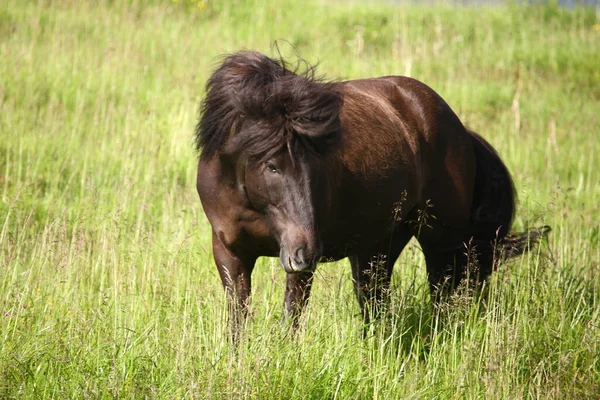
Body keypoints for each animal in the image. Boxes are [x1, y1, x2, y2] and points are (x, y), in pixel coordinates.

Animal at [195, 50, 548, 338]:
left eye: (316, 164)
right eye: (271, 166)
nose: (307, 253)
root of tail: (458, 127)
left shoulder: (297, 268)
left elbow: (290, 319)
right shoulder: (230, 254)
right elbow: (238, 321)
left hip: (438, 240)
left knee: (442, 292)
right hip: (378, 246)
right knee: (376, 300)